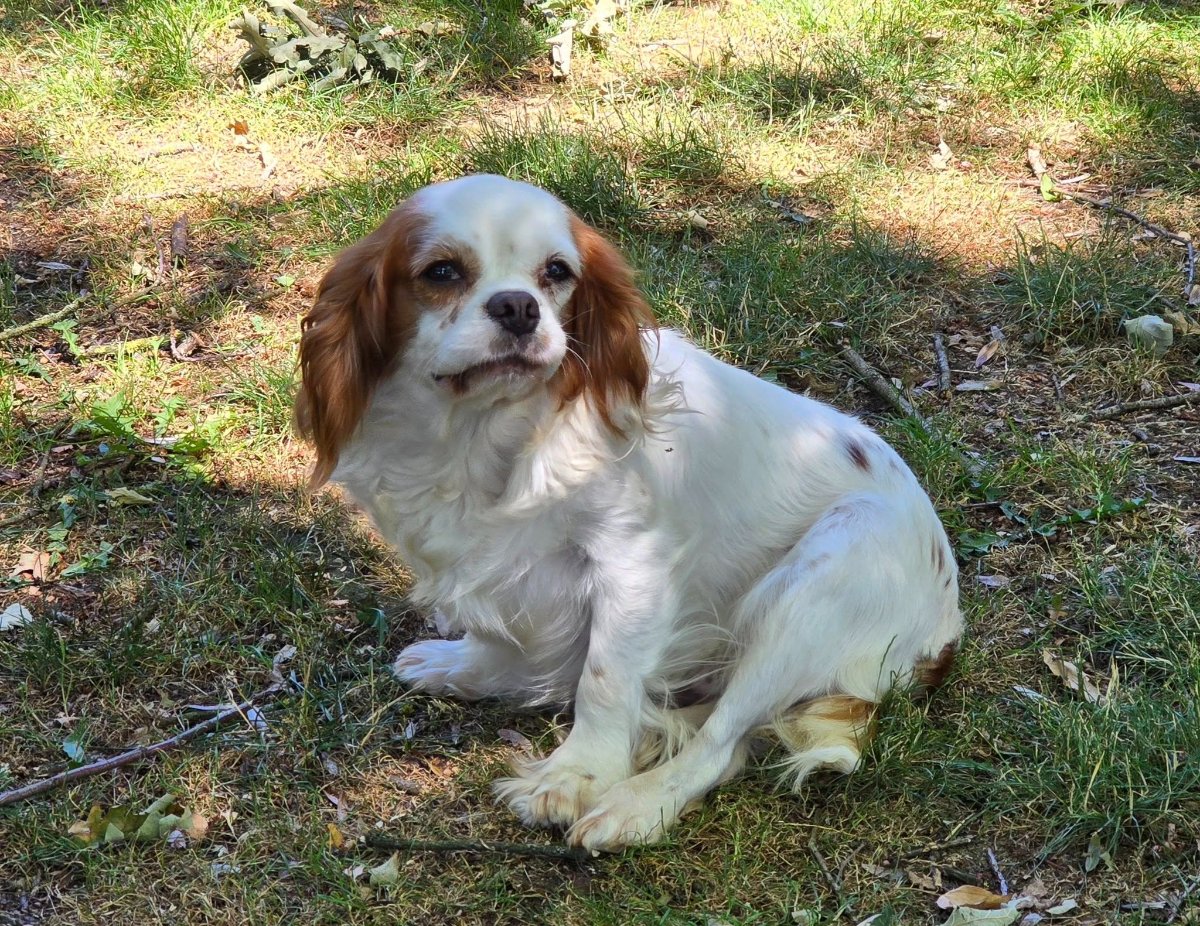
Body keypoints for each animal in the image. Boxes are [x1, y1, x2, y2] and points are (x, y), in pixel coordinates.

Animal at [295, 174, 961, 852]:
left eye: (557, 272)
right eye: (442, 271)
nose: (518, 307)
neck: (485, 436)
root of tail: (946, 629)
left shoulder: (630, 565)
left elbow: (605, 680)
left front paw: (573, 777)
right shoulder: (485, 558)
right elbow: (497, 630)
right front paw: (467, 666)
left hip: (828, 571)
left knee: (722, 744)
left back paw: (638, 804)